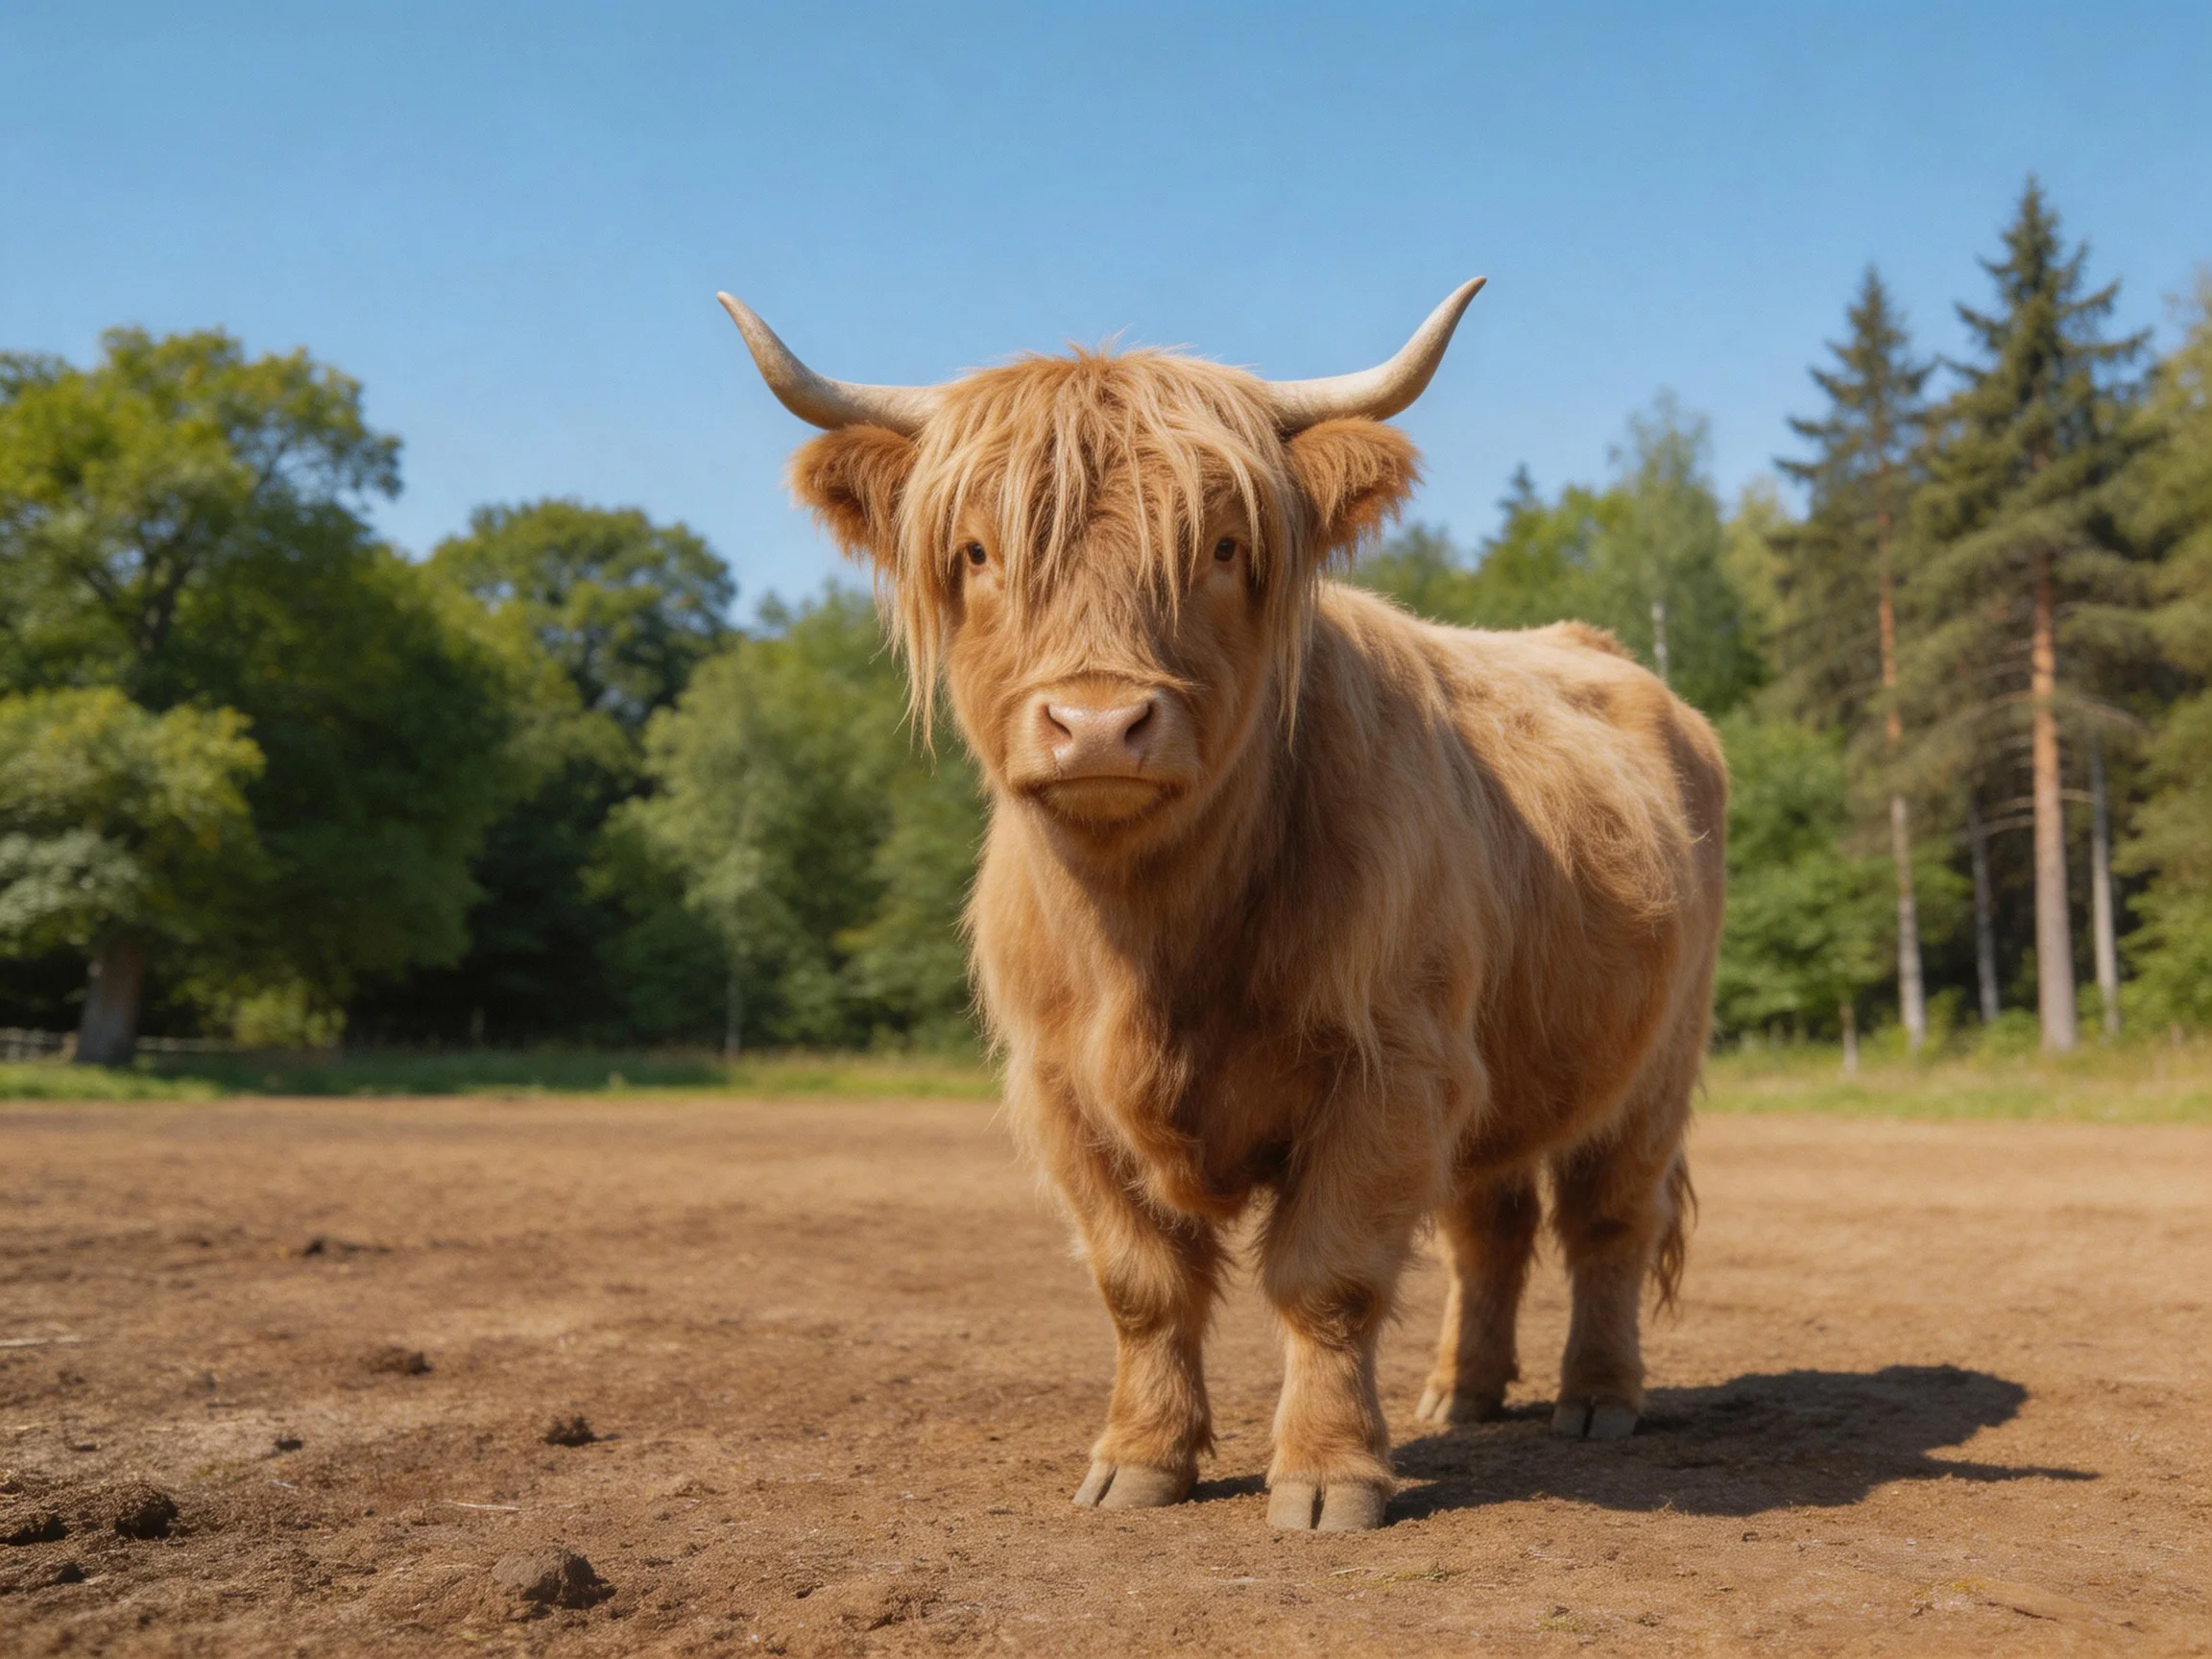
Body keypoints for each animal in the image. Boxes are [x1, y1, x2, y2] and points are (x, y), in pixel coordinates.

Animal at [717, 280, 1727, 1532]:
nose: (1098, 724)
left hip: (1654, 1062)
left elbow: (1328, 1277)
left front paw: (1328, 1480)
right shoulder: (1061, 1087)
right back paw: (1464, 1395)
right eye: (978, 550)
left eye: (1224, 545)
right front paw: (1139, 1463)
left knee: (1607, 1222)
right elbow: (1140, 1282)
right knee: (1490, 1226)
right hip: (1500, 1070)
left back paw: (1598, 1399)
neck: (1156, 943)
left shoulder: (1392, 1066)